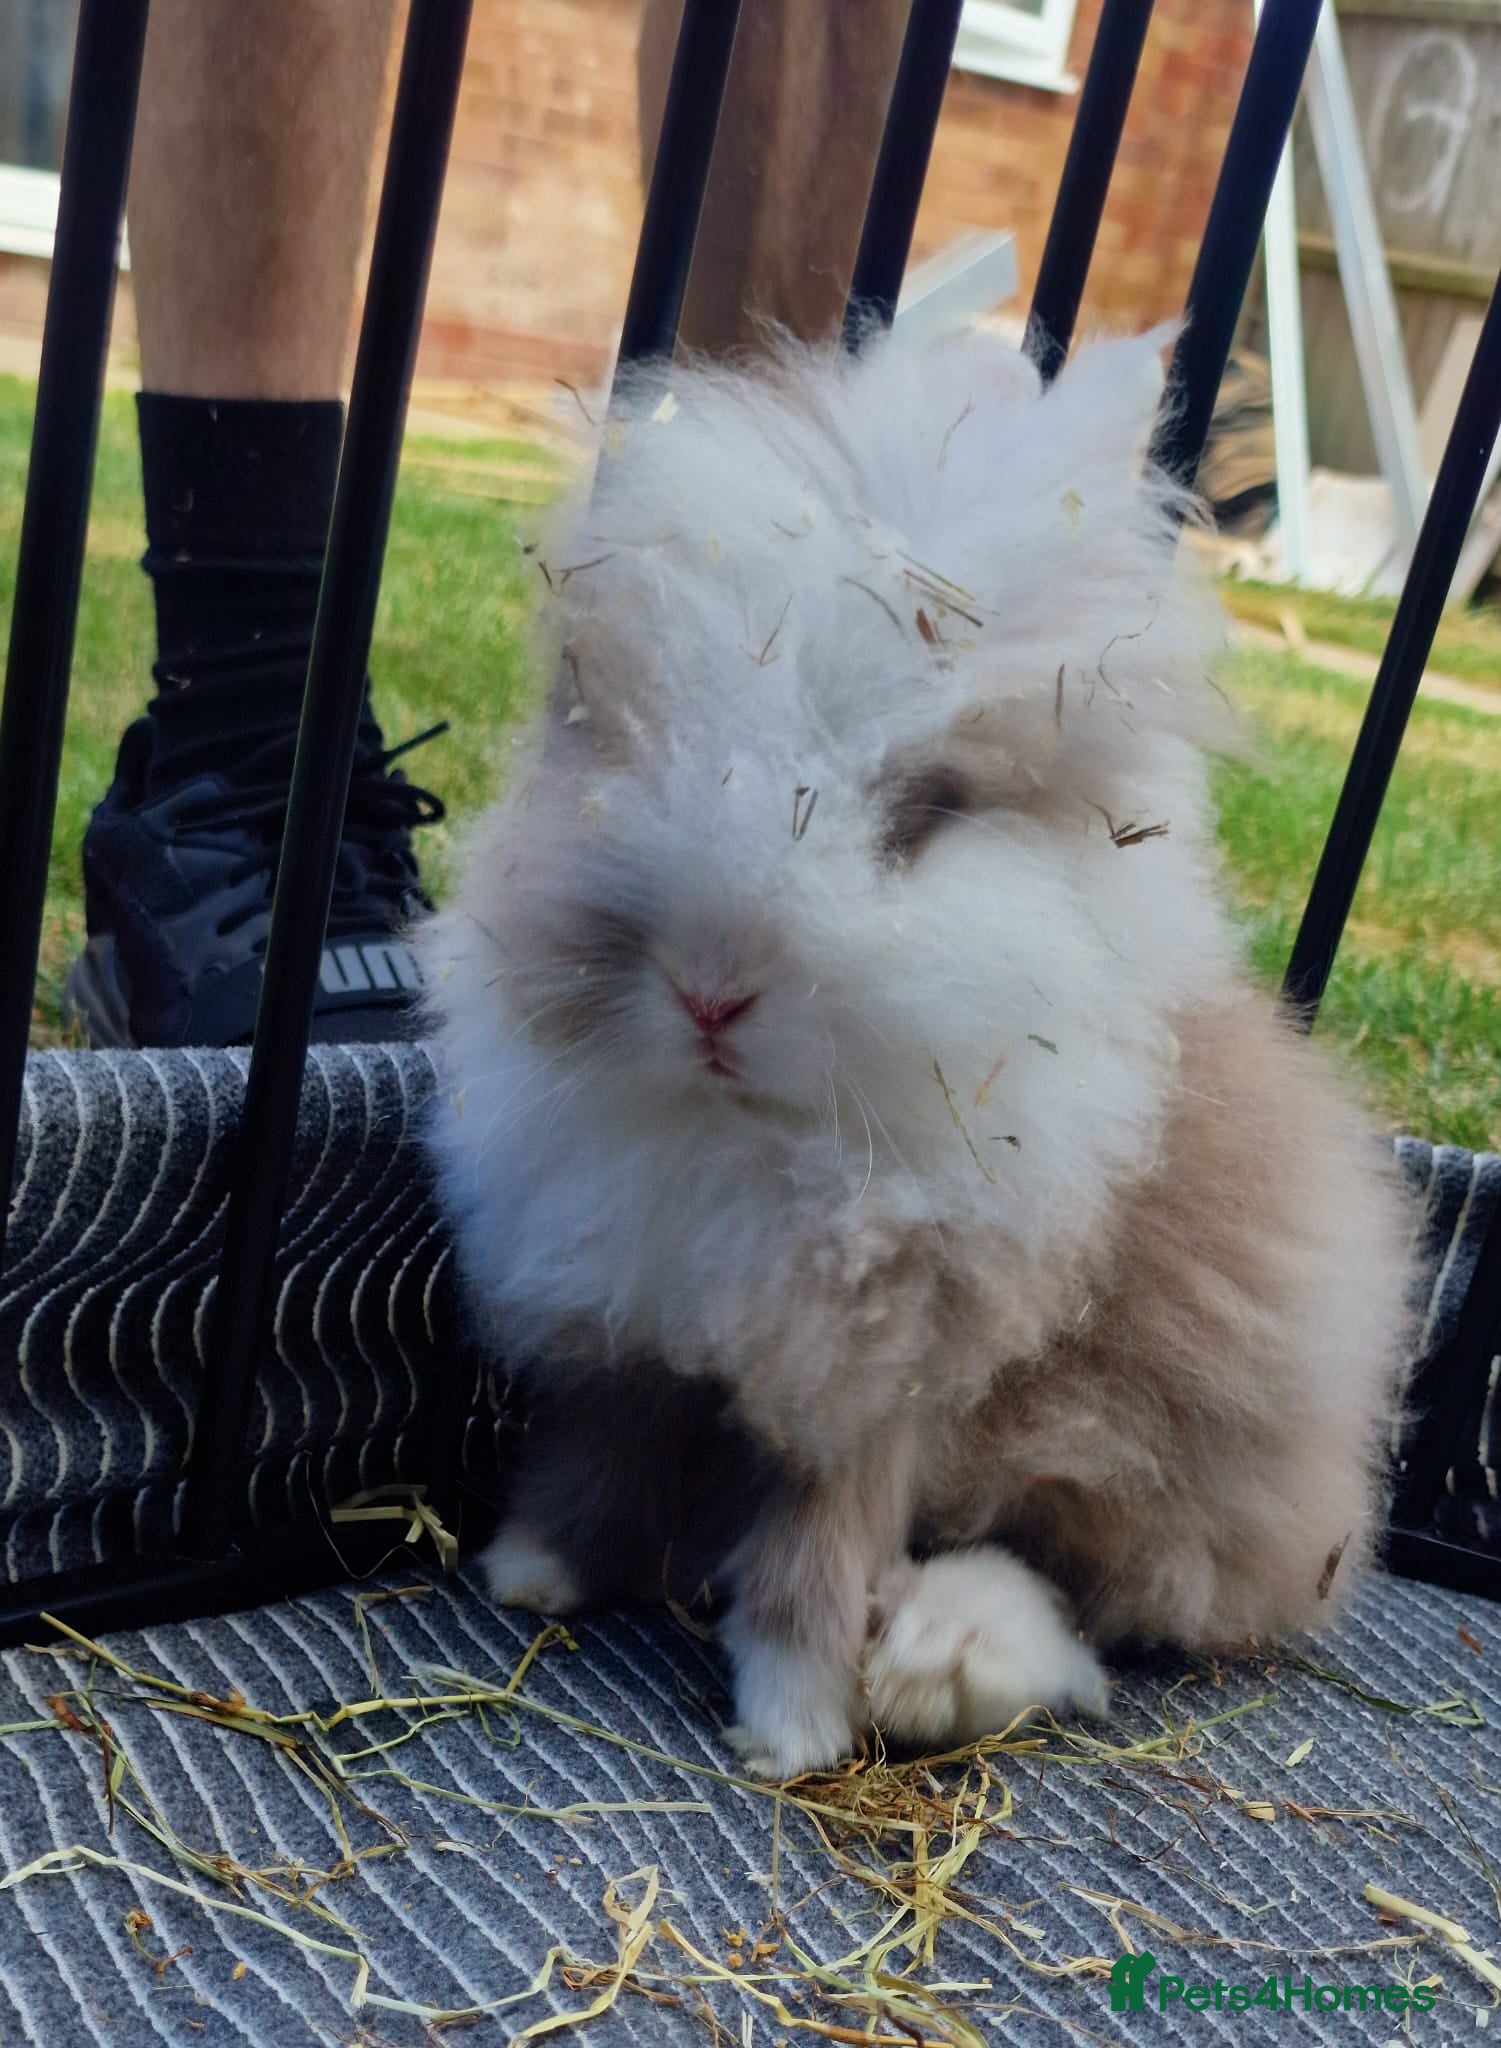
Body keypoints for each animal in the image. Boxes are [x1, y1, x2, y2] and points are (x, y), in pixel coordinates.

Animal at [421, 328, 1418, 1780]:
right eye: (623, 749)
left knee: (1097, 1606)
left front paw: (790, 1727)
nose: (709, 991)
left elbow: (818, 1551)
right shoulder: (640, 1311)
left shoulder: (887, 1375)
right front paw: (532, 1569)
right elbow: (608, 1445)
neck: (754, 1141)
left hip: (1160, 1466)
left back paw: (931, 1662)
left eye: (922, 815)